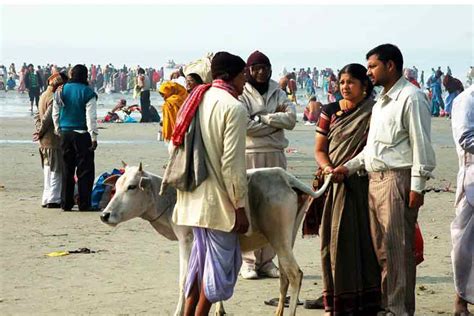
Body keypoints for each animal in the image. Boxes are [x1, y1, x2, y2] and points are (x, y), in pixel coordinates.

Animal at [100, 163, 330, 316]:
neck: (170, 198)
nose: (105, 215)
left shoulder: (187, 240)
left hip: (279, 236)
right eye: (115, 187)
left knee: (295, 274)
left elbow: (185, 280)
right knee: (285, 275)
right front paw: (219, 308)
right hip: (286, 238)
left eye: (131, 187)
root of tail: (284, 176)